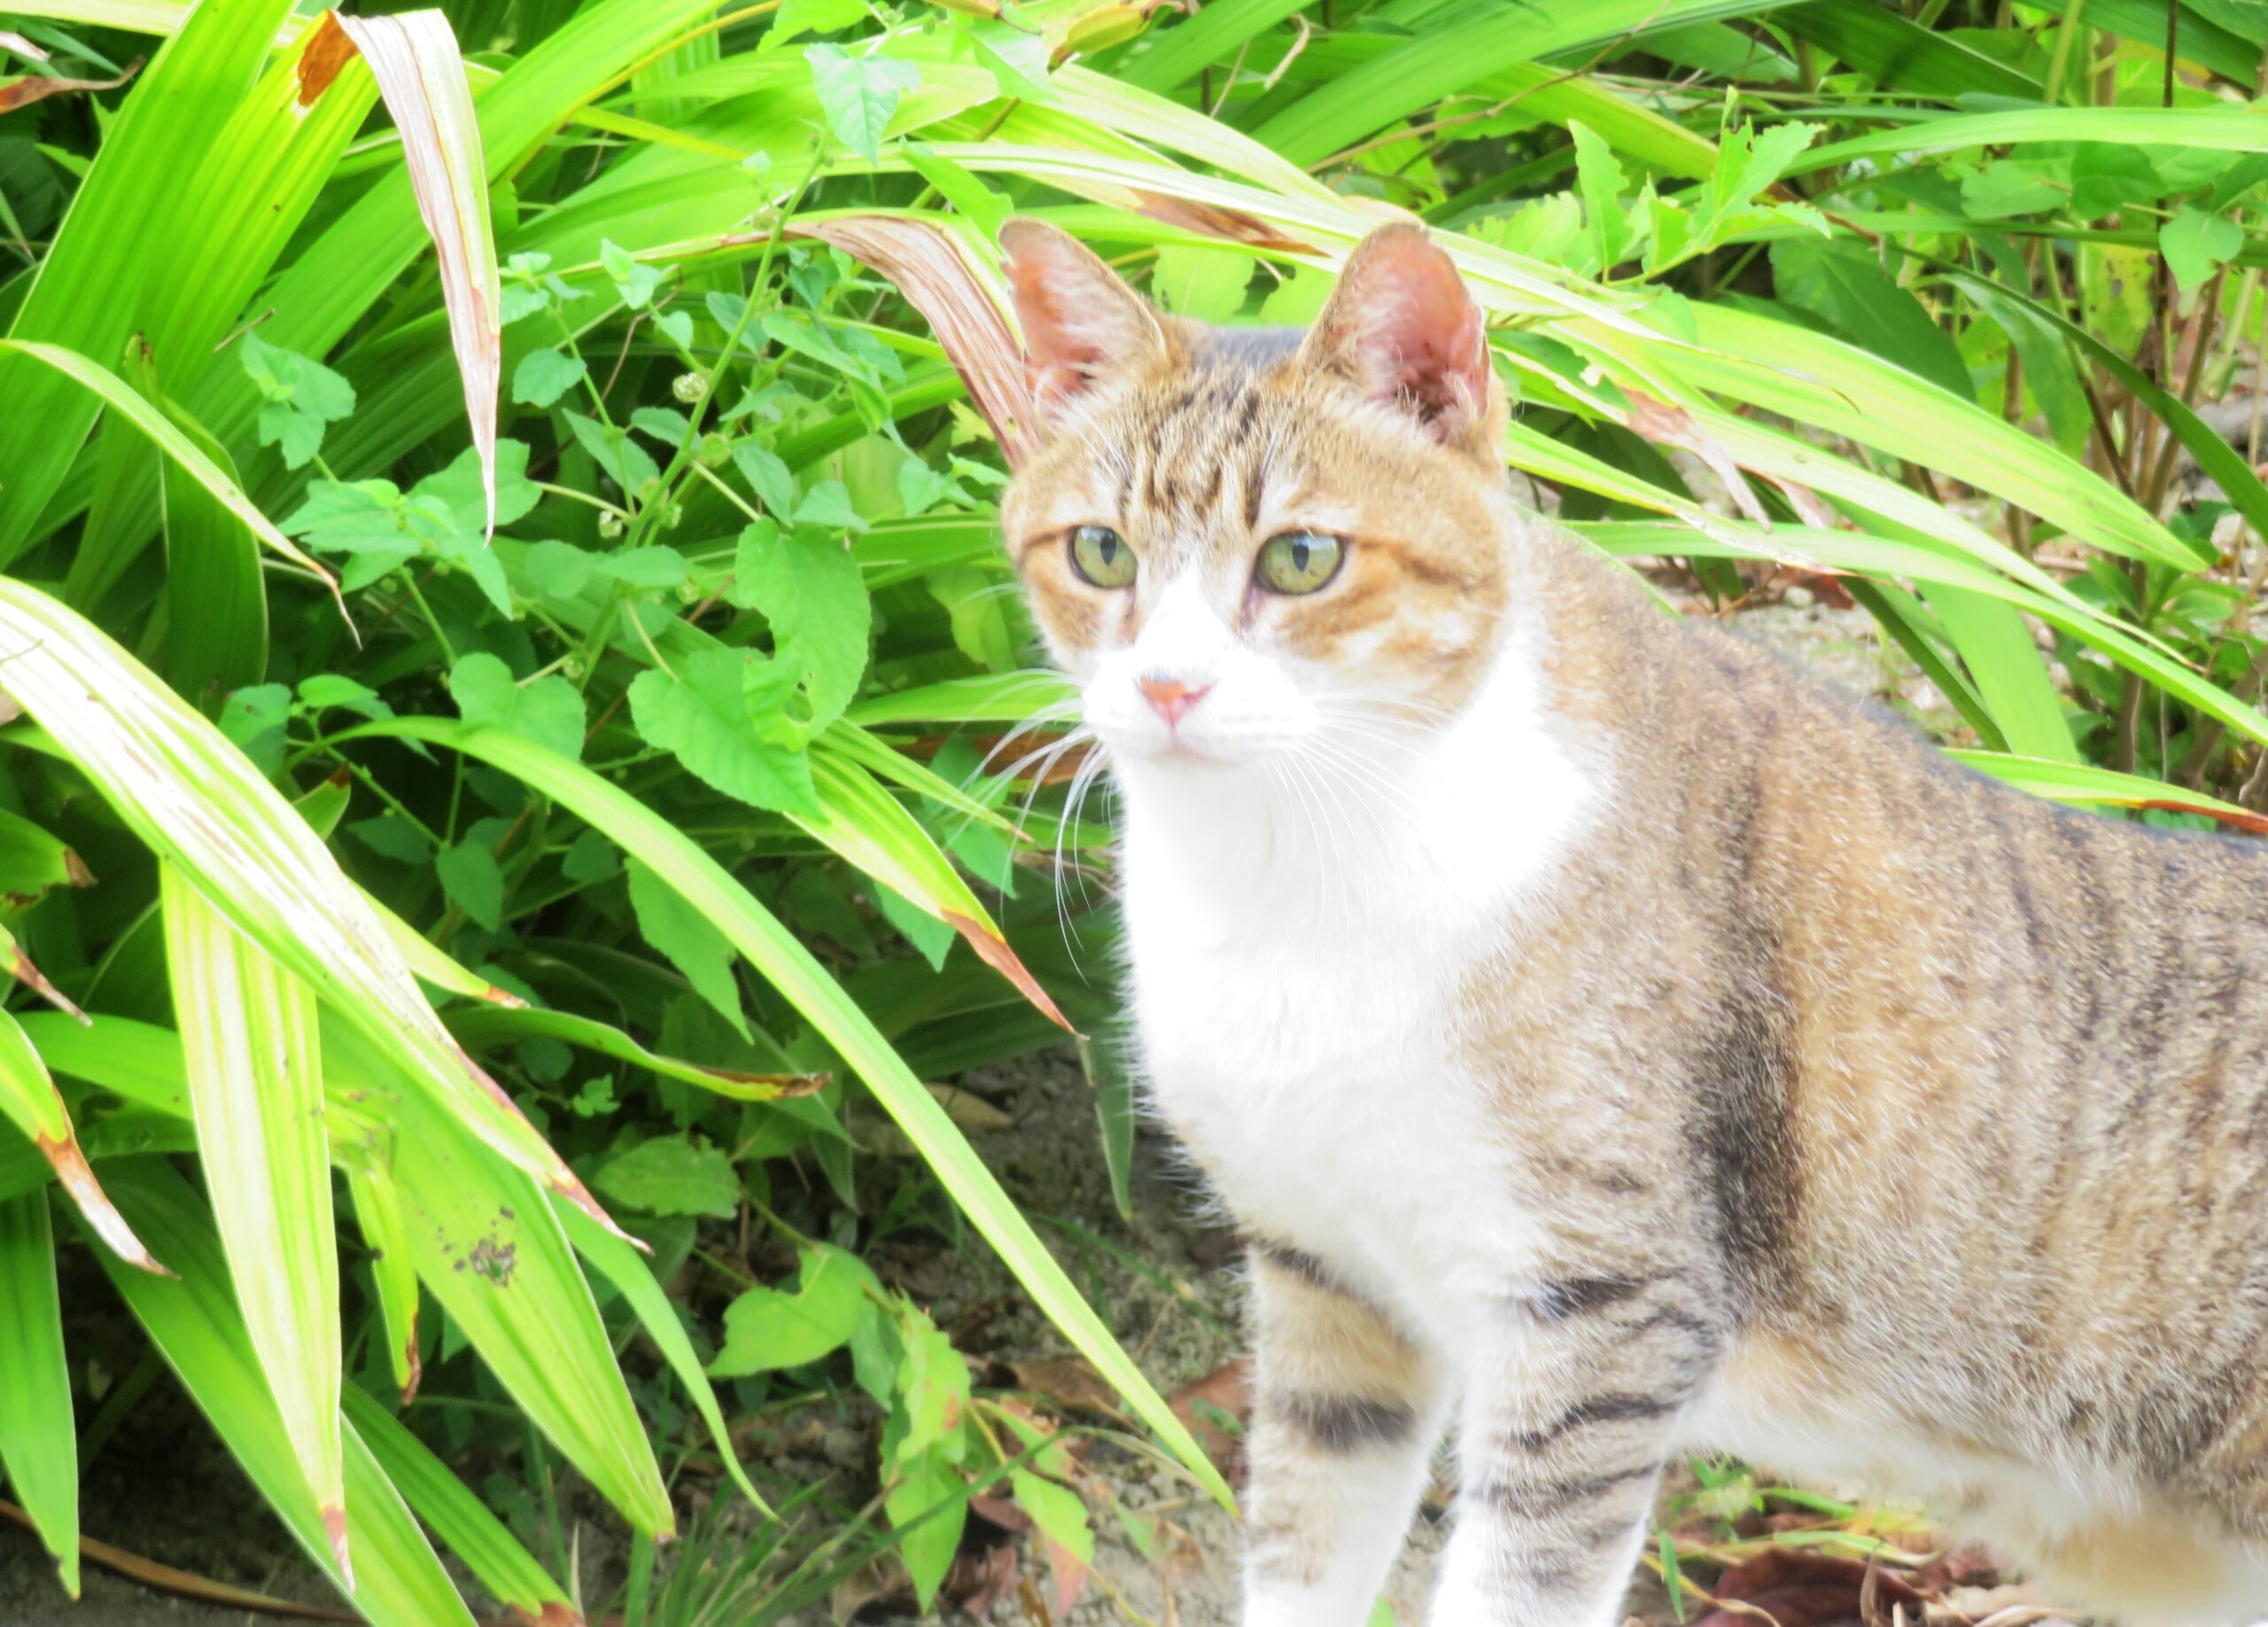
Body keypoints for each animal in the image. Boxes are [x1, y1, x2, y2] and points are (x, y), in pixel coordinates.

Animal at [998, 215, 2268, 1624]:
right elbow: (1302, 1550)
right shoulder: (1331, 1281)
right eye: (1100, 552)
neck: (1292, 863)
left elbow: (1511, 1586)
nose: (1167, 687)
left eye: (1301, 559)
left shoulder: (1602, 1307)